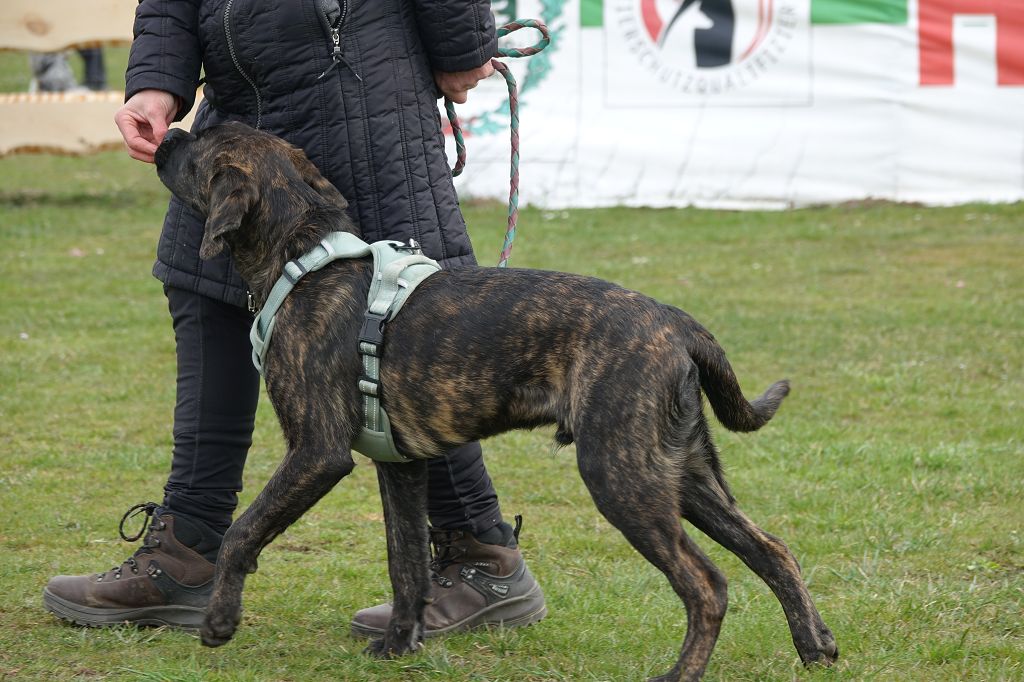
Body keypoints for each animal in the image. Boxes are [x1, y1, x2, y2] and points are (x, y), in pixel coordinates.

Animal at [154, 121, 837, 681]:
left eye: (199, 144)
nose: (165, 134)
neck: (303, 257)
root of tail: (675, 321)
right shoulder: (401, 466)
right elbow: (406, 562)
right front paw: (399, 646)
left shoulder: (316, 453)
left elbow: (244, 529)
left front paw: (219, 621)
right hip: (684, 474)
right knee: (773, 550)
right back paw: (815, 646)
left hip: (623, 477)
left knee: (706, 584)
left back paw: (681, 675)